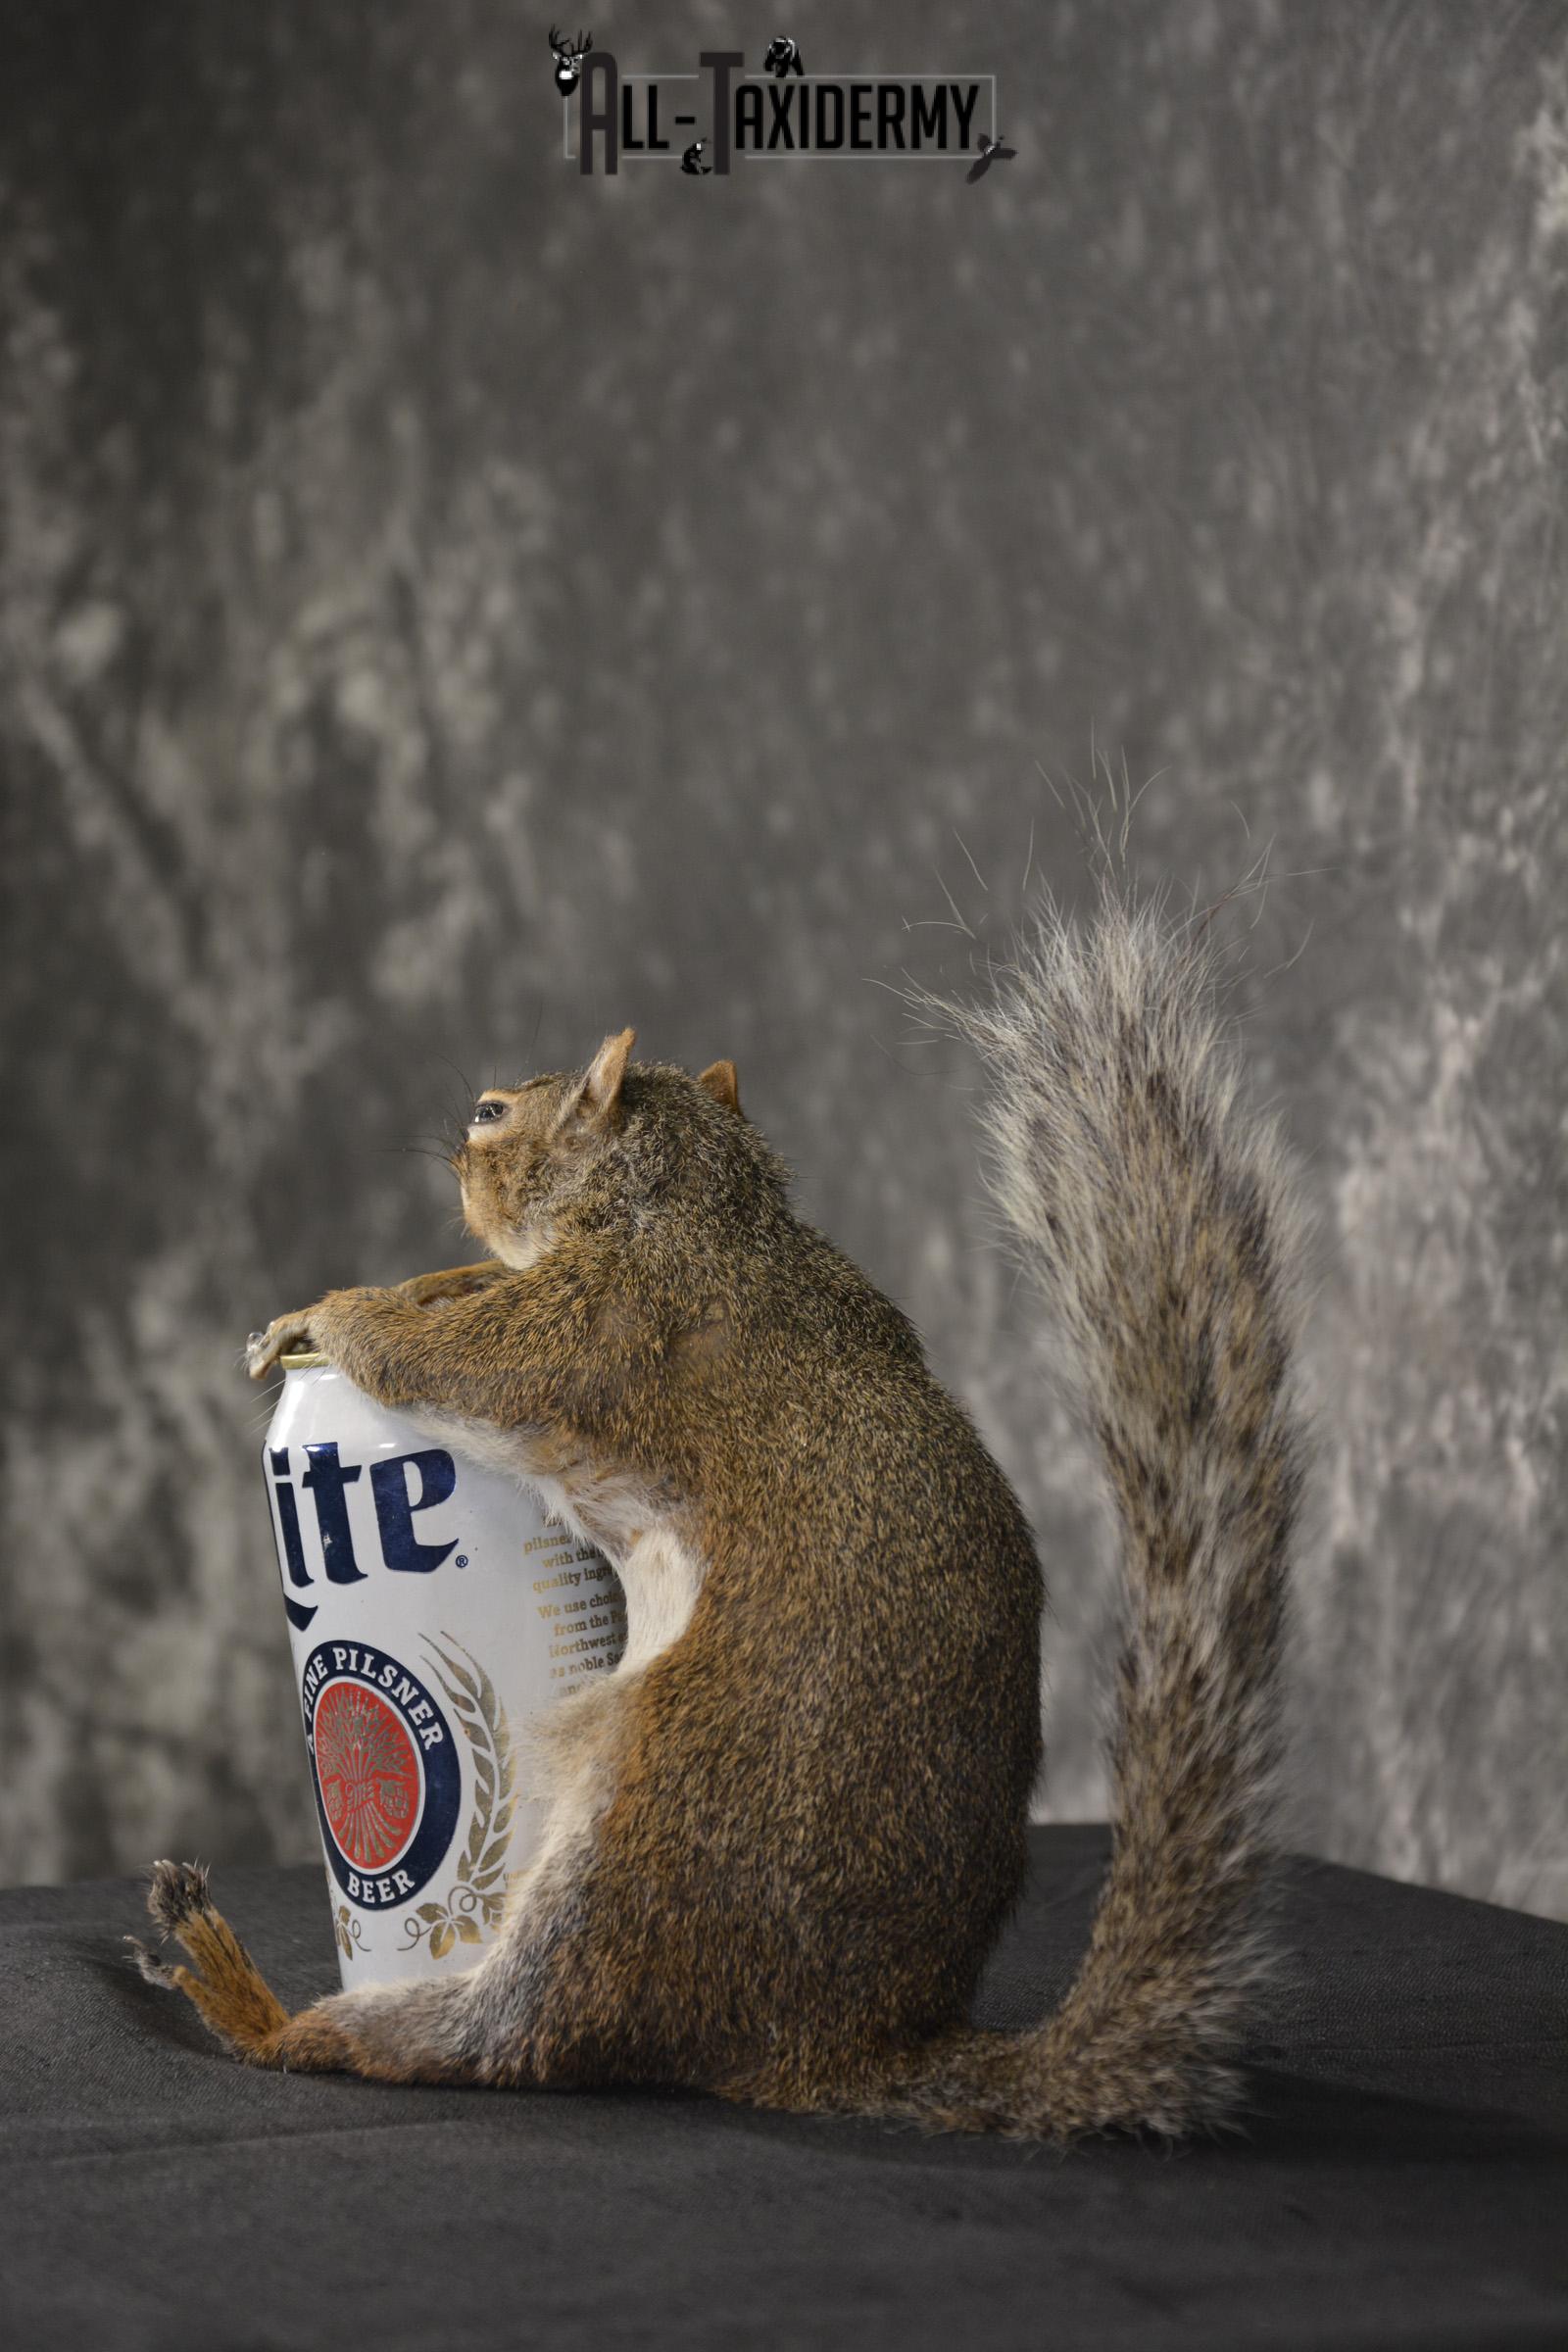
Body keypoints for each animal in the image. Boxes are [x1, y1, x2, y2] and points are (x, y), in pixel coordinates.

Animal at [130, 881, 1306, 2143]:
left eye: (493, 1112)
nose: (451, 1153)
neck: (693, 1201)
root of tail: (833, 2043)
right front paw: (376, 1292)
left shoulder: (597, 1325)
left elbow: (457, 1352)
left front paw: (335, 1313)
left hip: (656, 1814)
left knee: (506, 2037)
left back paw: (250, 1999)